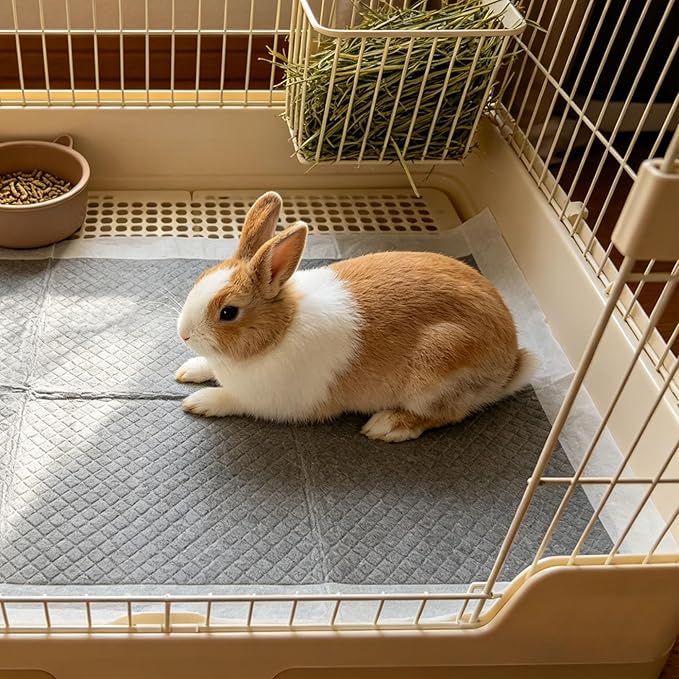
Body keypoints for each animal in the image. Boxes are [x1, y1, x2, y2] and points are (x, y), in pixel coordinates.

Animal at [176, 191, 536, 442]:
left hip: (436, 372)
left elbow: (231, 399)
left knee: (444, 415)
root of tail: (510, 362)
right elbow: (206, 366)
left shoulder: (265, 401)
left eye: (228, 312)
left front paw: (199, 401)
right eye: (202, 277)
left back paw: (387, 426)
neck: (278, 333)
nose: (184, 334)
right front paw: (187, 370)